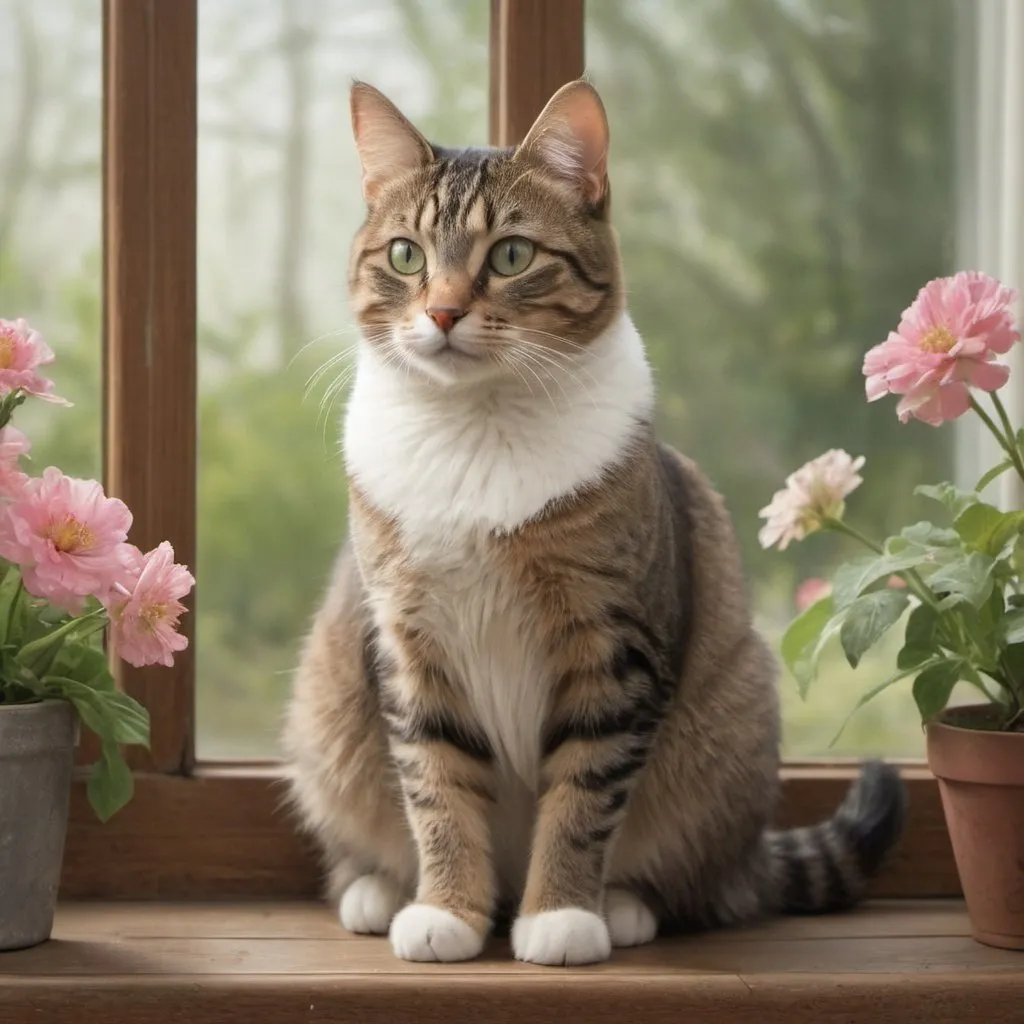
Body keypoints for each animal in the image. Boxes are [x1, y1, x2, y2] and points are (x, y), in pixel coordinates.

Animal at [282, 79, 905, 966]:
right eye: (406, 255)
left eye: (511, 255)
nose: (442, 313)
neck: (478, 427)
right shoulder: (412, 648)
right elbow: (437, 787)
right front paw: (447, 909)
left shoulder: (614, 646)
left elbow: (582, 797)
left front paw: (561, 914)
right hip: (326, 704)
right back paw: (379, 889)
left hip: (727, 728)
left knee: (698, 877)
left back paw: (622, 904)